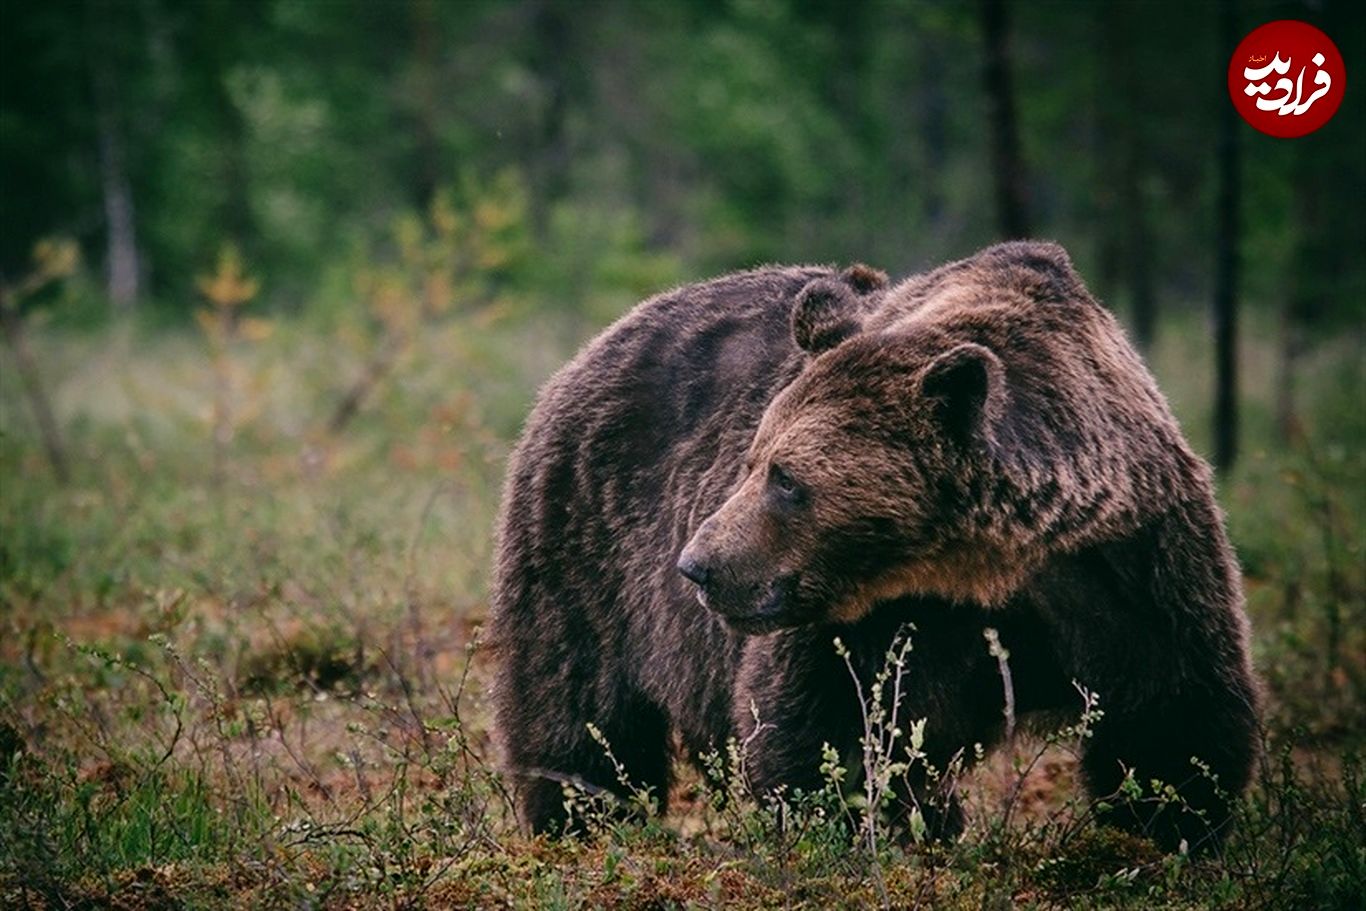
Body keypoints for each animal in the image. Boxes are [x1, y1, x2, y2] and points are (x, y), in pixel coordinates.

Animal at [489, 241, 1256, 857]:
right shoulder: (870, 622)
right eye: (751, 460)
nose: (697, 567)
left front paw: (1169, 829)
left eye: (786, 478)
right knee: (578, 707)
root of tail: (601, 340)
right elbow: (827, 732)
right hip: (585, 540)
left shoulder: (1128, 562)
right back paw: (581, 821)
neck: (982, 563)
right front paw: (857, 826)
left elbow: (1173, 715)